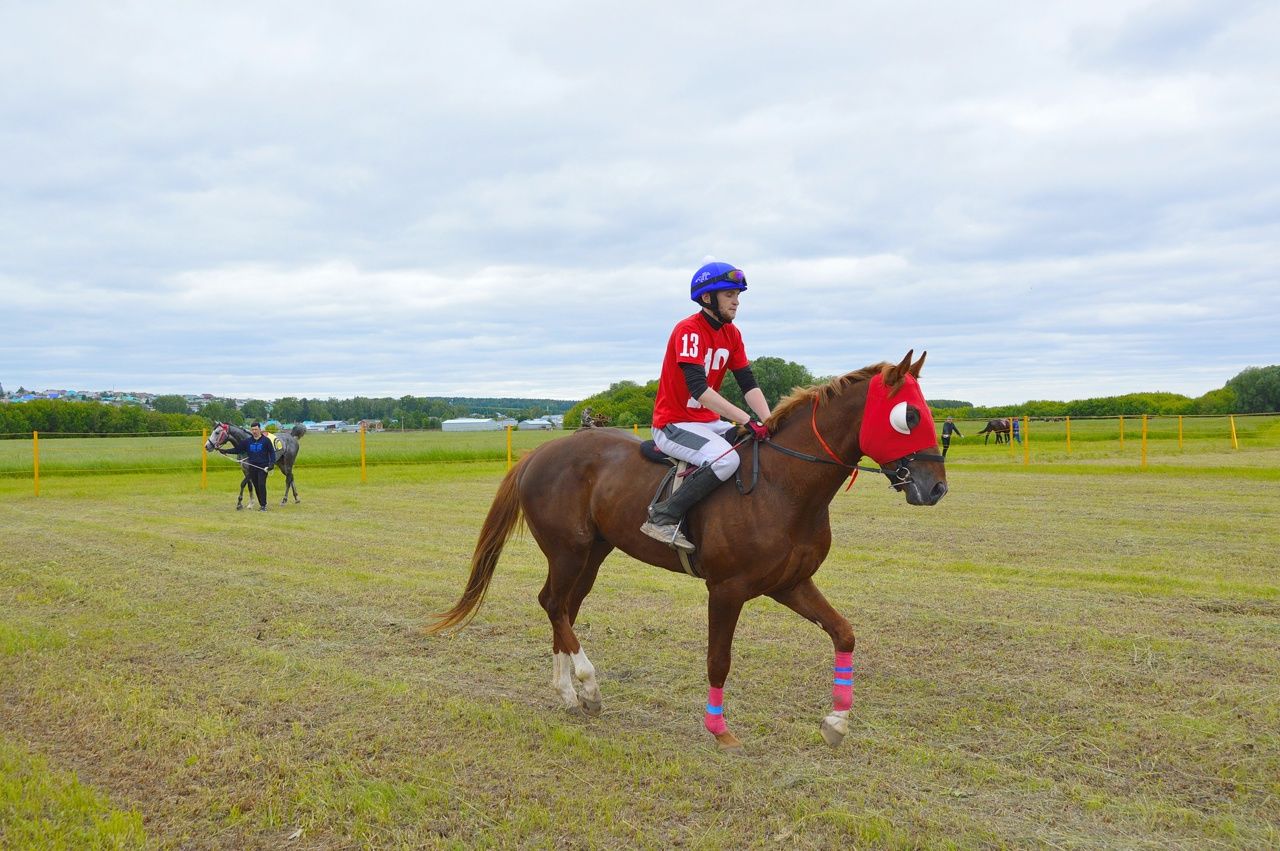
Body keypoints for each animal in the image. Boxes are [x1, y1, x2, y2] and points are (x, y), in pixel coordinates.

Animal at [435, 348, 947, 747]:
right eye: (910, 415)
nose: (936, 487)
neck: (785, 486)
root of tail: (539, 454)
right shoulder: (726, 590)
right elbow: (718, 660)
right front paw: (718, 729)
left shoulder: (791, 583)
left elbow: (844, 633)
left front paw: (836, 722)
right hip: (568, 550)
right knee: (554, 604)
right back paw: (587, 685)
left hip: (591, 554)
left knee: (563, 607)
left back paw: (568, 692)